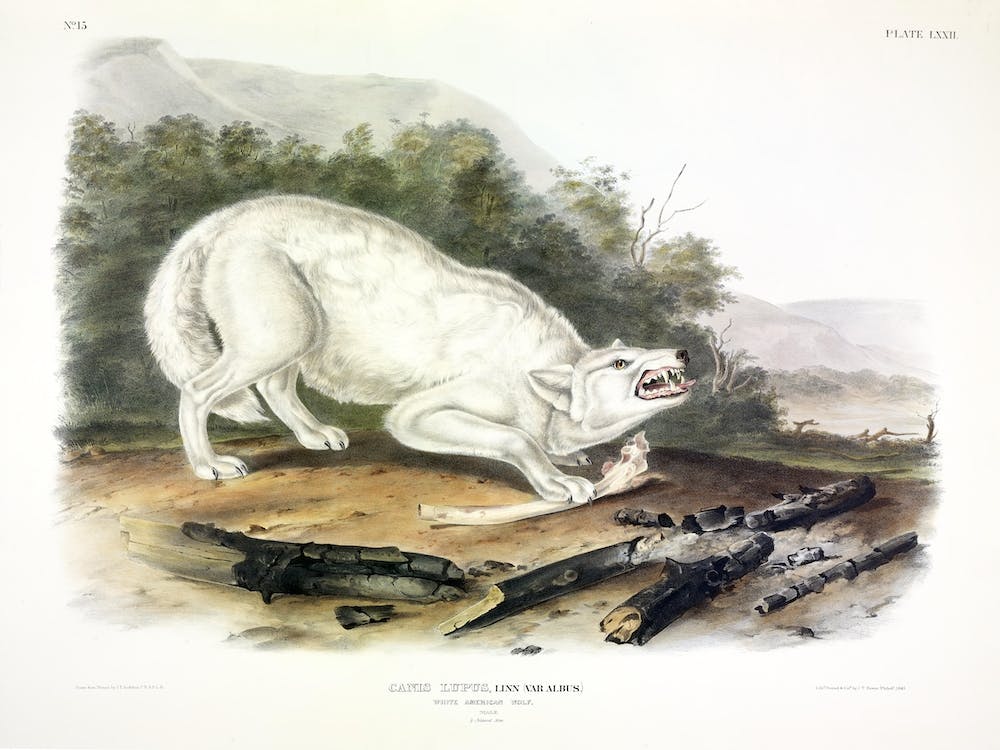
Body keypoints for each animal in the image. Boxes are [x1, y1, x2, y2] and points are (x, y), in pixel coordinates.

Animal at [144, 196, 695, 504]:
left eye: (643, 349)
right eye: (622, 363)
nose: (683, 353)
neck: (540, 368)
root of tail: (227, 218)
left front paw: (572, 458)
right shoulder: (419, 413)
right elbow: (517, 439)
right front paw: (557, 482)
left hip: (298, 333)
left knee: (275, 385)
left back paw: (315, 435)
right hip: (283, 332)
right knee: (198, 391)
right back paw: (208, 465)